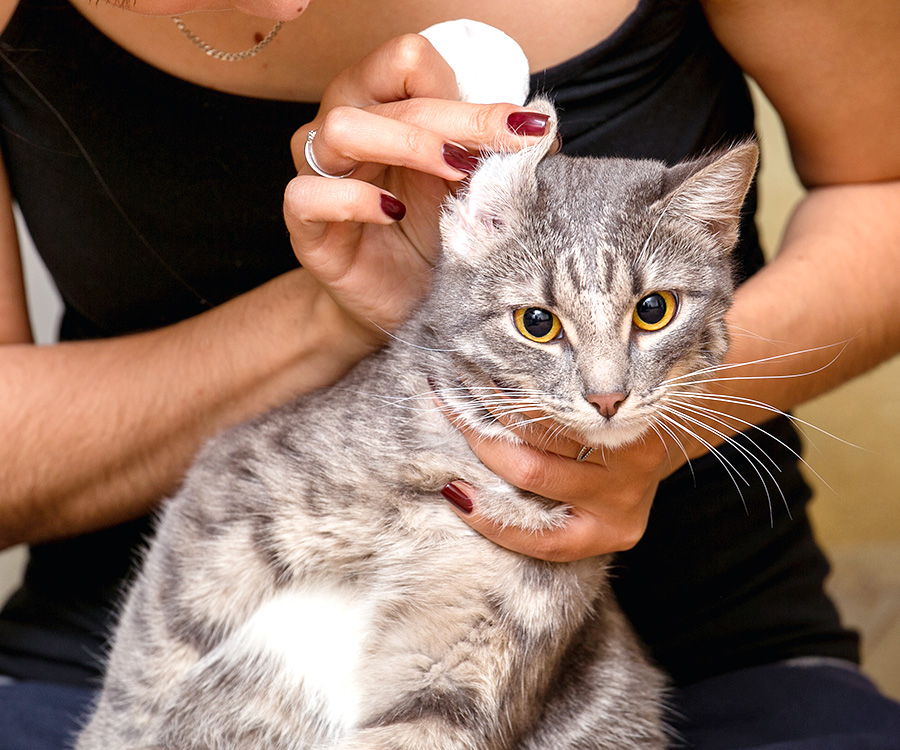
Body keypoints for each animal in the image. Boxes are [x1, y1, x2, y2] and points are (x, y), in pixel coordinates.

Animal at [74, 104, 756, 750]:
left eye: (654, 310)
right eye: (537, 322)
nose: (608, 397)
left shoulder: (467, 664)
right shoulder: (232, 490)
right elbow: (148, 666)